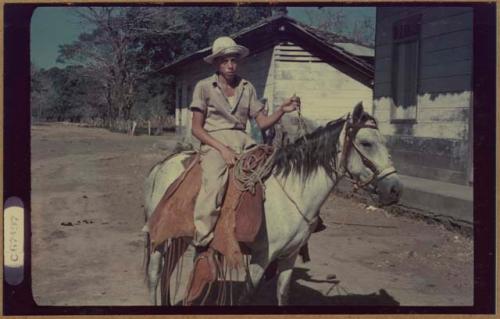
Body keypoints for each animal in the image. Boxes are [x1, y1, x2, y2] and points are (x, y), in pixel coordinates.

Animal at [141, 103, 402, 308]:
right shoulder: (261, 257)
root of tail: (163, 165)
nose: (395, 189)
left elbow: (283, 294)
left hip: (181, 237)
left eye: (384, 143)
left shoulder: (289, 256)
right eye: (366, 143)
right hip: (160, 239)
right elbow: (246, 297)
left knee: (167, 272)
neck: (292, 193)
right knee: (155, 274)